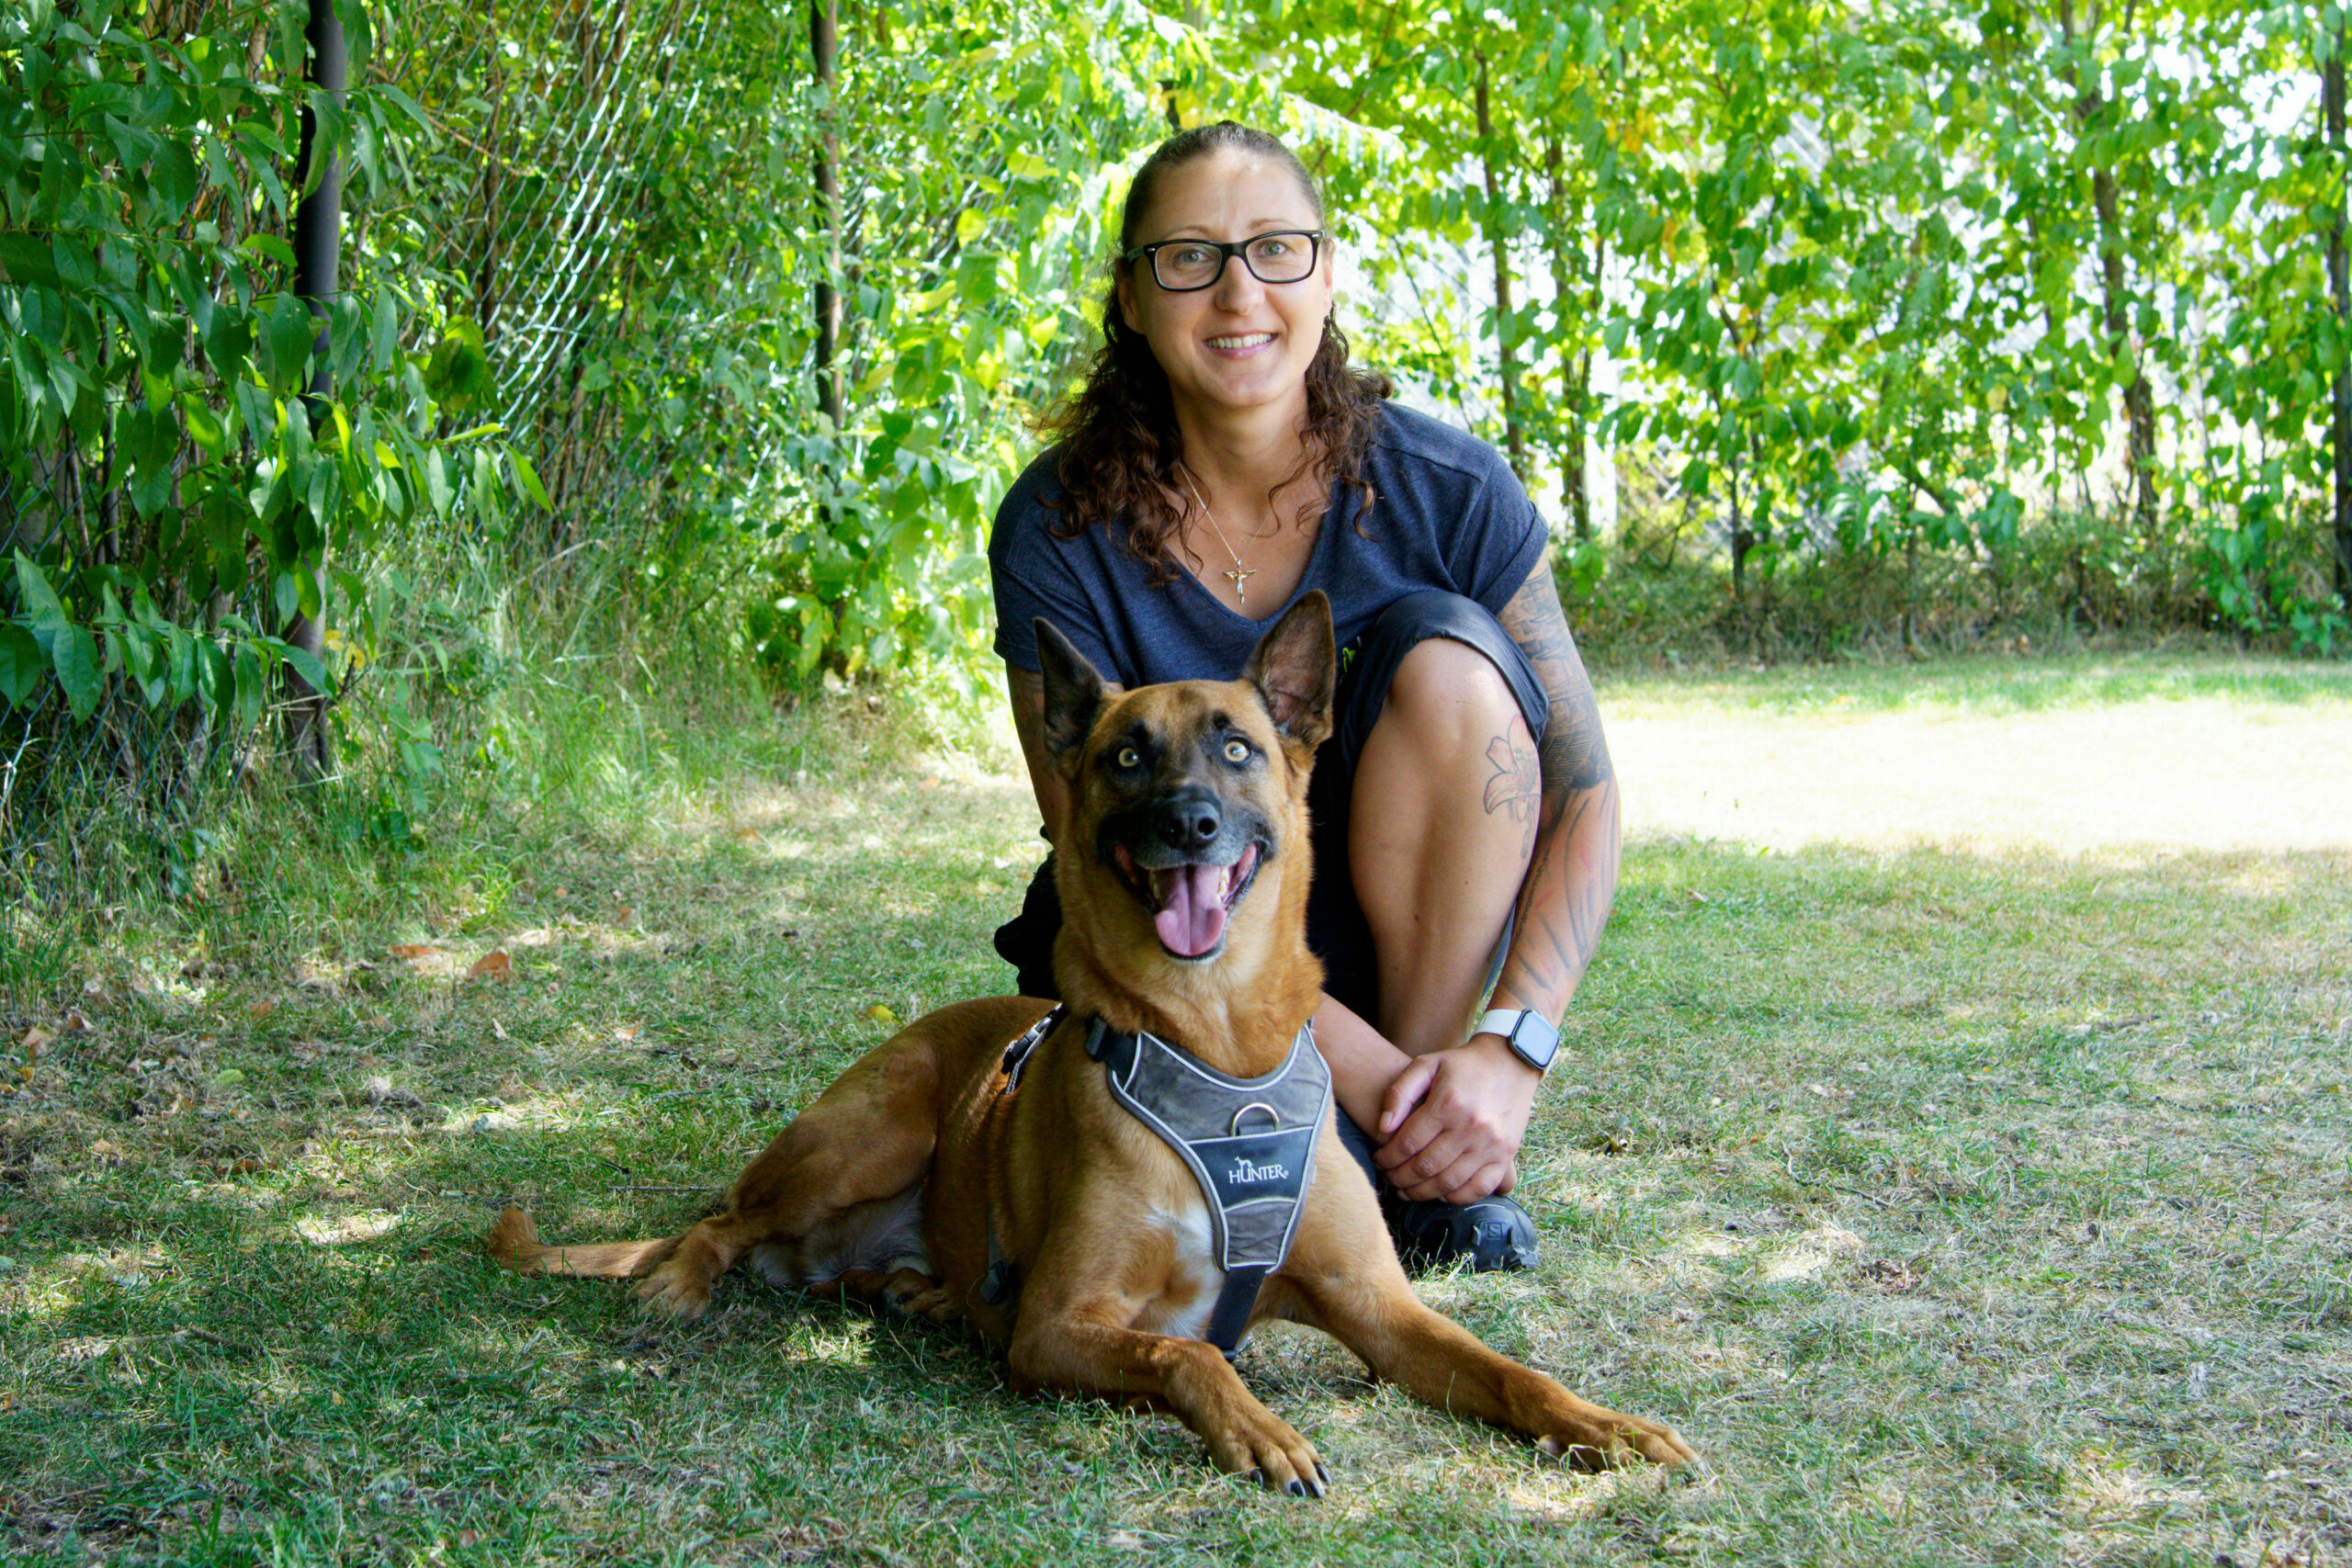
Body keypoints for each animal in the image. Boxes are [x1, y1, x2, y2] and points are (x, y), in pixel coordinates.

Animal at [492, 592, 1693, 1495]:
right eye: (1124, 757)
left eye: (1237, 748)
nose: (1188, 824)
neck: (1219, 1053)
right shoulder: (1061, 1326)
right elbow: (1187, 1348)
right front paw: (1258, 1427)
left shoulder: (1380, 1310)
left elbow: (1509, 1371)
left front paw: (1606, 1423)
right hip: (869, 1135)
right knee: (719, 1223)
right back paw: (686, 1283)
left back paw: (922, 1292)